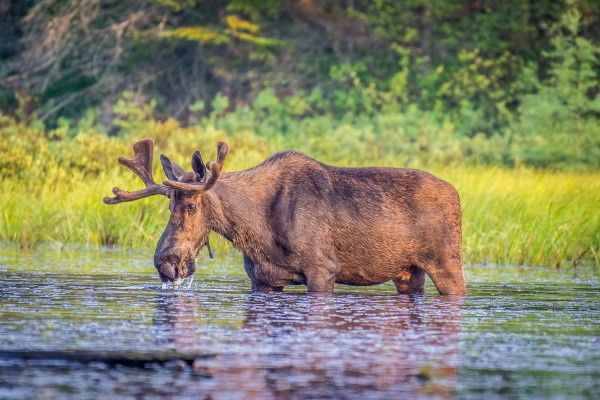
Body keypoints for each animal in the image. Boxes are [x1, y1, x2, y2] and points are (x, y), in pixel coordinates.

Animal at [104, 139, 464, 296]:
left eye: (192, 206)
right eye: (169, 207)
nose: (165, 262)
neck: (255, 231)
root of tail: (456, 195)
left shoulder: (323, 269)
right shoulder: (262, 278)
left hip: (447, 261)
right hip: (408, 271)